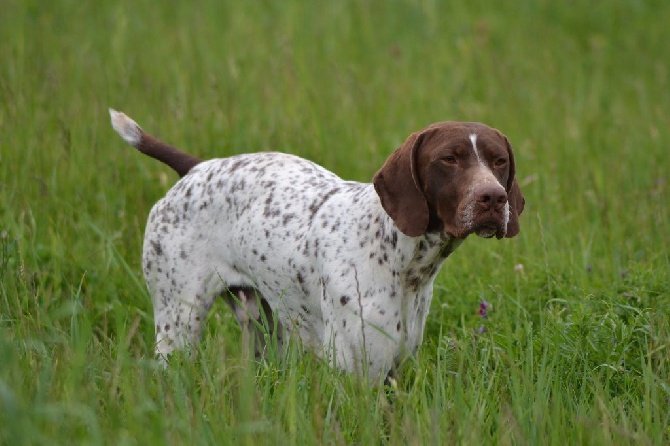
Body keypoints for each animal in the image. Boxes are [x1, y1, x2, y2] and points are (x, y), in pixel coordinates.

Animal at [109, 110, 524, 382]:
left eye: (499, 160)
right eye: (449, 159)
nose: (493, 198)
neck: (400, 258)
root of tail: (196, 168)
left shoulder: (393, 369)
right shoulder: (357, 372)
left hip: (264, 328)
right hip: (177, 326)